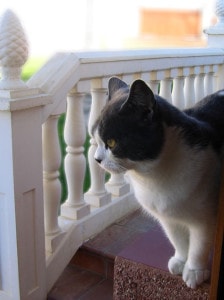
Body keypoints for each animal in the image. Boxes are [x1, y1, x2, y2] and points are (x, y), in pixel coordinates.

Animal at [91, 76, 224, 290]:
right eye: (94, 139)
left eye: (111, 143)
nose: (96, 159)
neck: (152, 177)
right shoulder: (167, 217)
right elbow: (178, 240)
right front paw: (180, 261)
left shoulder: (206, 218)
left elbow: (199, 246)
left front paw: (194, 271)